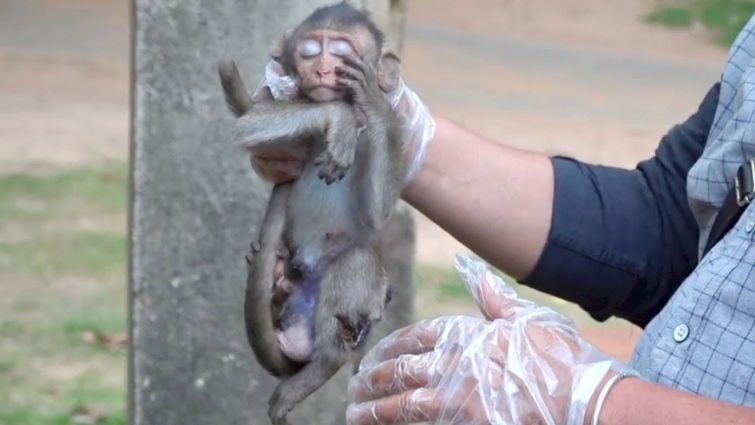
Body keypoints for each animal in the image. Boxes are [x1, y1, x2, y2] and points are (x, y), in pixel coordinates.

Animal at [218, 3, 405, 424]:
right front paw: (338, 119)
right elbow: (250, 124)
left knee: (355, 262)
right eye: (309, 51)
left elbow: (378, 214)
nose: (321, 69)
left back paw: (320, 367)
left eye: (340, 50)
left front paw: (371, 102)